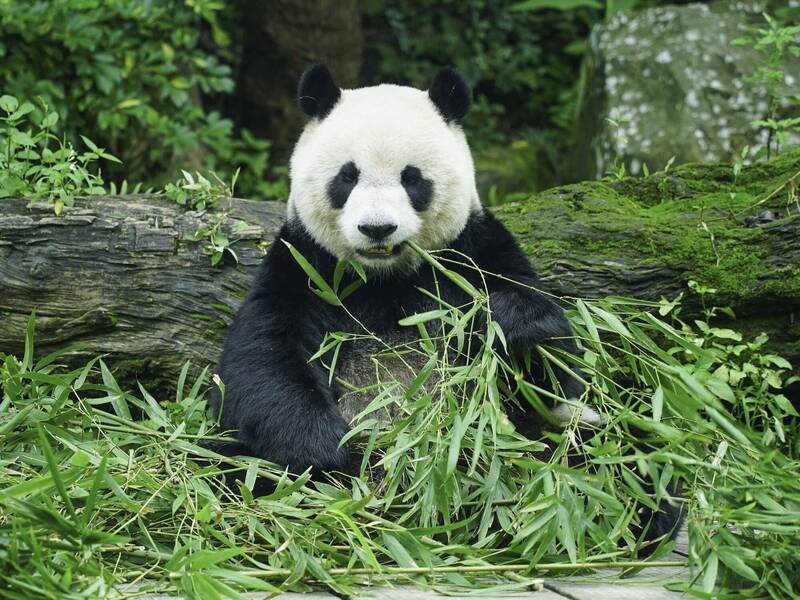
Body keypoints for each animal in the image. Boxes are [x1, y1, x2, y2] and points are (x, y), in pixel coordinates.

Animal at [209, 67, 680, 552]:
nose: (377, 228)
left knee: (624, 459)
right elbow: (262, 361)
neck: (384, 277)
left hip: (542, 442)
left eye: (412, 178)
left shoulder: (474, 252)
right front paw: (324, 448)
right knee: (225, 467)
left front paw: (511, 322)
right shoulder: (304, 266)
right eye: (347, 177)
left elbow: (552, 371)